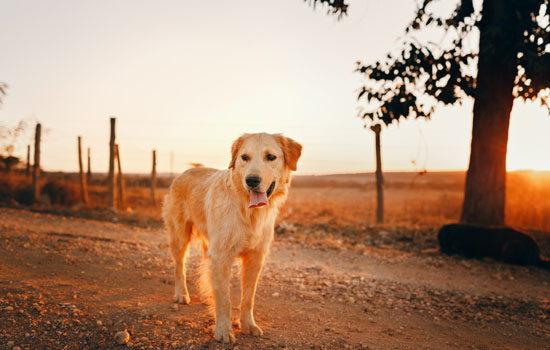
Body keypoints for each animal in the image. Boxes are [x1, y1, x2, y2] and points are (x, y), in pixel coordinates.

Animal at [162, 133, 304, 344]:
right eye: (244, 157)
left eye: (271, 157)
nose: (251, 180)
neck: (248, 211)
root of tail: (188, 170)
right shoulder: (222, 255)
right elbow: (224, 299)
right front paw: (223, 330)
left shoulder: (255, 258)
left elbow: (248, 298)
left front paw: (248, 325)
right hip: (180, 236)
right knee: (180, 266)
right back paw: (182, 294)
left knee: (205, 266)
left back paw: (206, 295)